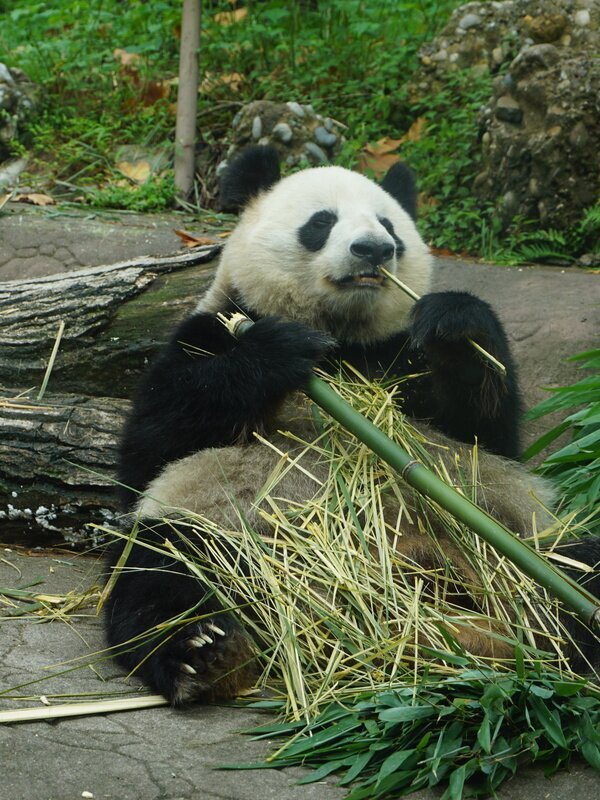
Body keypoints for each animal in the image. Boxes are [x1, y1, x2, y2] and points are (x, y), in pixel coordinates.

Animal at [105, 145, 600, 705]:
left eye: (389, 225)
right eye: (321, 222)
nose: (374, 250)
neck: (341, 338)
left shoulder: (397, 358)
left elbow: (484, 435)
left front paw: (456, 323)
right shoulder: (209, 331)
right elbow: (153, 442)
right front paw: (281, 350)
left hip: (513, 542)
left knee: (577, 563)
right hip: (223, 529)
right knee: (164, 570)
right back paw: (207, 652)